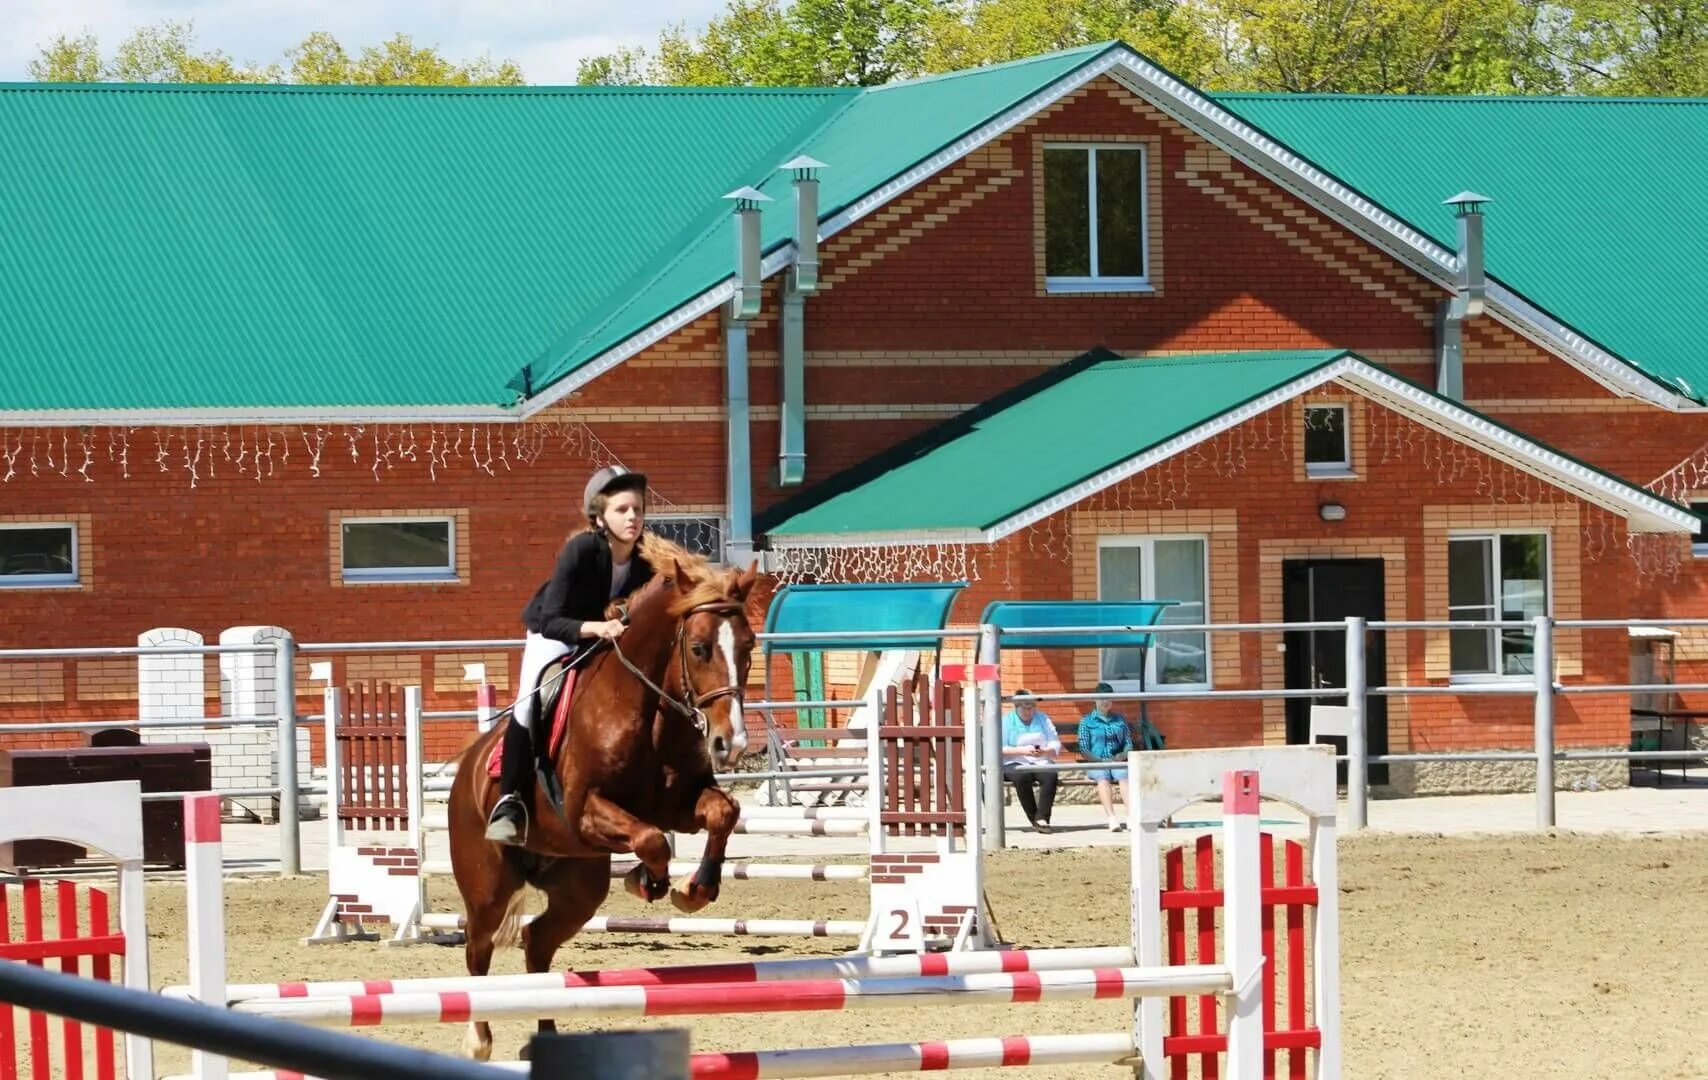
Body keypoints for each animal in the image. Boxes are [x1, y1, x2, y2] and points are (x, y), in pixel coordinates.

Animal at [447, 543, 754, 1059]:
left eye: (748, 647)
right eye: (698, 648)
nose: (729, 744)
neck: (647, 708)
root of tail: (466, 766)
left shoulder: (678, 805)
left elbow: (721, 814)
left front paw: (691, 890)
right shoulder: (585, 812)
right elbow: (652, 841)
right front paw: (647, 882)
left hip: (578, 889)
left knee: (536, 941)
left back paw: (546, 1035)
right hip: (489, 886)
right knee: (477, 947)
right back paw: (478, 1041)